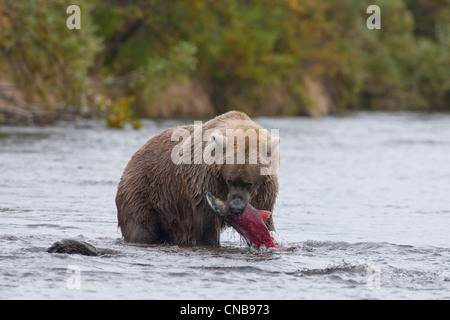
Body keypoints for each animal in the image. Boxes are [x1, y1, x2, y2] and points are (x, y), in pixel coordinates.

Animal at [115, 111, 278, 246]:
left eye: (249, 183)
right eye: (230, 180)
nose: (235, 207)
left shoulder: (265, 190)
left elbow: (266, 220)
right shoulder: (205, 181)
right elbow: (207, 223)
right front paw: (211, 242)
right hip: (145, 191)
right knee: (142, 228)